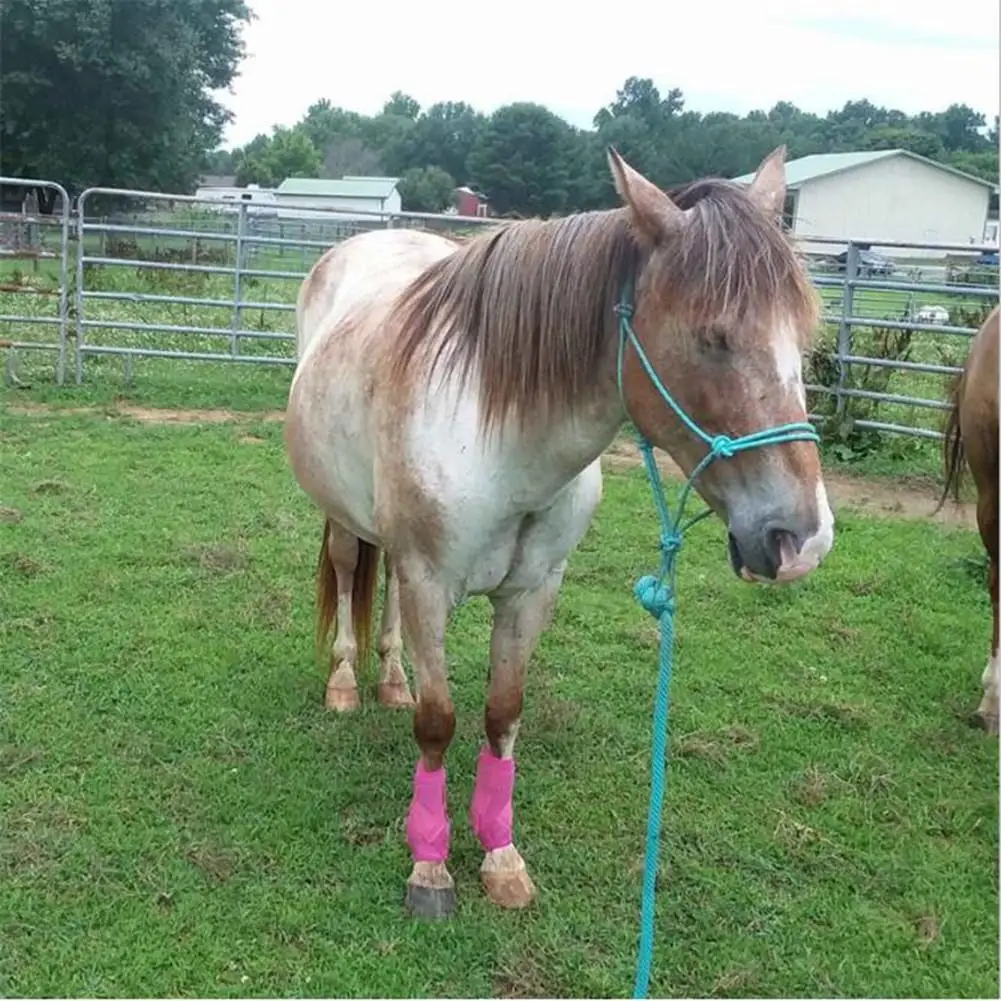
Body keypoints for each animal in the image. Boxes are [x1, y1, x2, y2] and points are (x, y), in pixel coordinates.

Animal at [283, 146, 836, 919]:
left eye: (802, 337)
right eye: (713, 337)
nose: (801, 539)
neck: (499, 440)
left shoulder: (533, 591)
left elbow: (501, 713)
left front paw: (500, 855)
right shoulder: (430, 581)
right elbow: (439, 721)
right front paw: (430, 865)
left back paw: (390, 680)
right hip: (341, 513)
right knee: (343, 568)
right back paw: (344, 684)